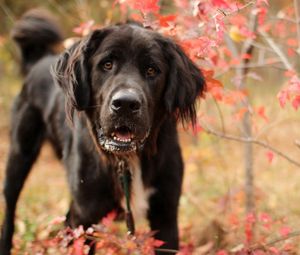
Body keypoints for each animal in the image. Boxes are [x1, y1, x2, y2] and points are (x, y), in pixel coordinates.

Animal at [0, 8, 204, 254]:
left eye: (152, 70)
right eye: (107, 65)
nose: (125, 104)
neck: (126, 159)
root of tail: (39, 60)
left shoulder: (165, 215)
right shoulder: (86, 216)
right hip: (19, 157)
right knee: (10, 211)